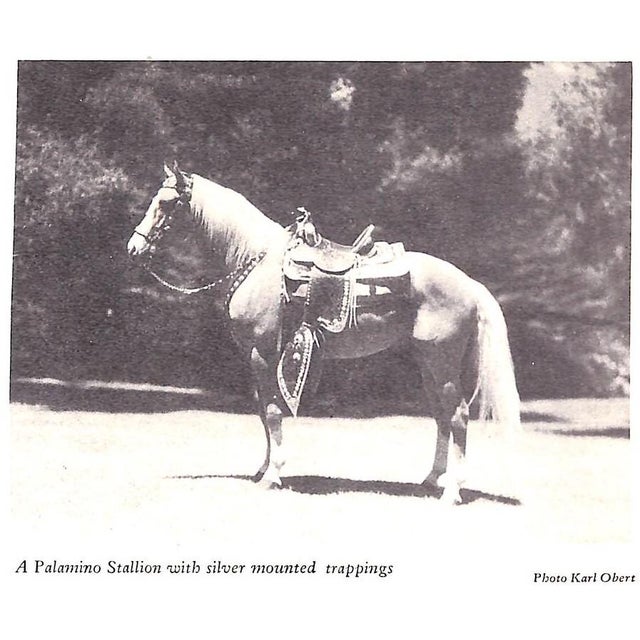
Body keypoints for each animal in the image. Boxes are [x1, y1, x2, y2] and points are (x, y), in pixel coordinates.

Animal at [127, 163, 521, 504]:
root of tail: (469, 284)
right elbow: (262, 409)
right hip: (428, 364)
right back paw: (432, 479)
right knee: (441, 416)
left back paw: (452, 491)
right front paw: (264, 468)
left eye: (166, 203)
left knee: (457, 416)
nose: (134, 247)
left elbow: (272, 411)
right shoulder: (257, 356)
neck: (258, 260)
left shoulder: (262, 352)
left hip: (442, 363)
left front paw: (273, 475)